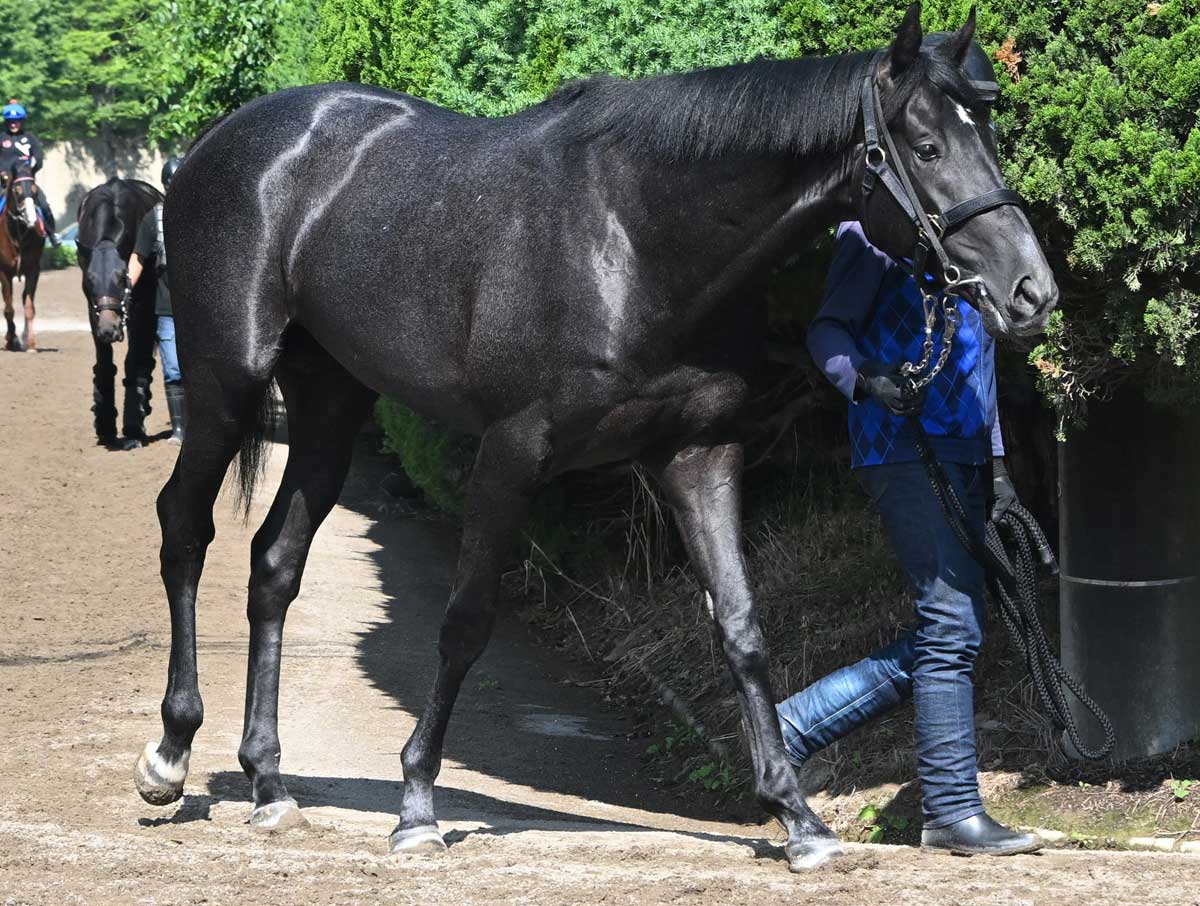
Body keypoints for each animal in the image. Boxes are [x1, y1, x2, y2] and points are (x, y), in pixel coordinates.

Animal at [76, 178, 163, 446]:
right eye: (90, 279)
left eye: (123, 277)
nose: (109, 330)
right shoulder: (92, 307)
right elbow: (104, 362)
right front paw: (105, 425)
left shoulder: (143, 304)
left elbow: (133, 360)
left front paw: (133, 425)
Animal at [134, 4, 1059, 870]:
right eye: (926, 146)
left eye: (990, 135)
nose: (1031, 292)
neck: (631, 240)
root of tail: (218, 145)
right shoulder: (510, 456)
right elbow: (465, 623)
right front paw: (417, 807)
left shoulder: (700, 455)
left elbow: (742, 627)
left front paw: (797, 817)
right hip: (225, 385)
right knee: (184, 528)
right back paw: (171, 756)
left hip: (330, 403)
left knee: (274, 565)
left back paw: (268, 783)